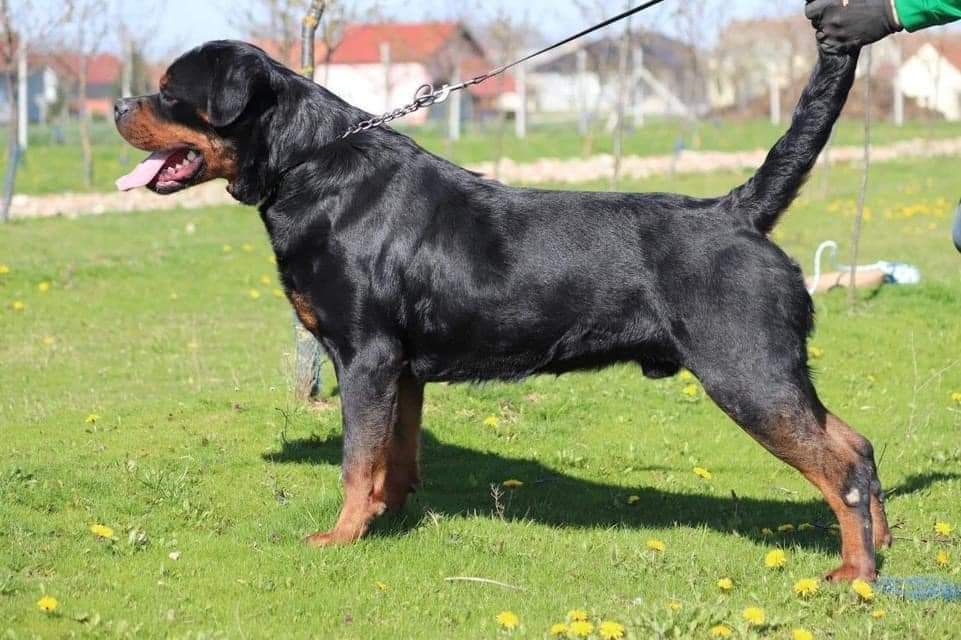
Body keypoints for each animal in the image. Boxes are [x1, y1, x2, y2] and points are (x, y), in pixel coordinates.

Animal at [114, 39, 891, 581]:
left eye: (169, 92)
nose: (120, 106)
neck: (311, 164)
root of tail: (738, 212)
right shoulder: (402, 369)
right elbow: (396, 452)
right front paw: (390, 516)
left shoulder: (365, 356)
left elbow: (355, 458)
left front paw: (341, 534)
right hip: (771, 373)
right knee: (855, 444)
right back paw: (881, 544)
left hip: (746, 372)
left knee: (838, 469)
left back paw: (855, 571)